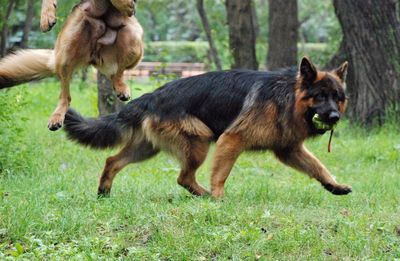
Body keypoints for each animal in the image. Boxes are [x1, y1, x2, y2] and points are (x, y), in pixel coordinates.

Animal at [0, 0, 144, 130]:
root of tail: (93, 56)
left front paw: (125, 4)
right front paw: (46, 15)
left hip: (133, 35)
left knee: (118, 73)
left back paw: (120, 86)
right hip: (68, 44)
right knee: (66, 96)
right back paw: (57, 115)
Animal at [62, 57, 350, 198]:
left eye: (338, 97)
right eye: (320, 96)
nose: (335, 117)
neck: (289, 97)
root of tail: (152, 96)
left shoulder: (289, 150)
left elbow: (318, 167)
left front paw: (334, 186)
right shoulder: (231, 140)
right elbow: (220, 175)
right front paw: (219, 198)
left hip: (147, 149)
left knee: (112, 161)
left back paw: (104, 192)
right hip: (199, 141)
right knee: (183, 178)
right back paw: (205, 195)